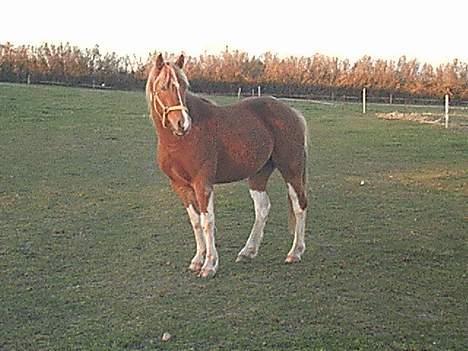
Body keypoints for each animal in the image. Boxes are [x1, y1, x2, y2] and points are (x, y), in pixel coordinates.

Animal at [145, 53, 308, 280]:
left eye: (184, 86)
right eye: (163, 87)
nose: (182, 123)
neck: (181, 140)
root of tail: (291, 112)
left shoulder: (203, 184)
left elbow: (208, 221)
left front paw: (209, 265)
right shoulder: (180, 186)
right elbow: (195, 221)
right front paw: (197, 260)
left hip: (291, 170)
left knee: (299, 205)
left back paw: (295, 252)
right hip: (258, 174)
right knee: (262, 207)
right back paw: (248, 251)